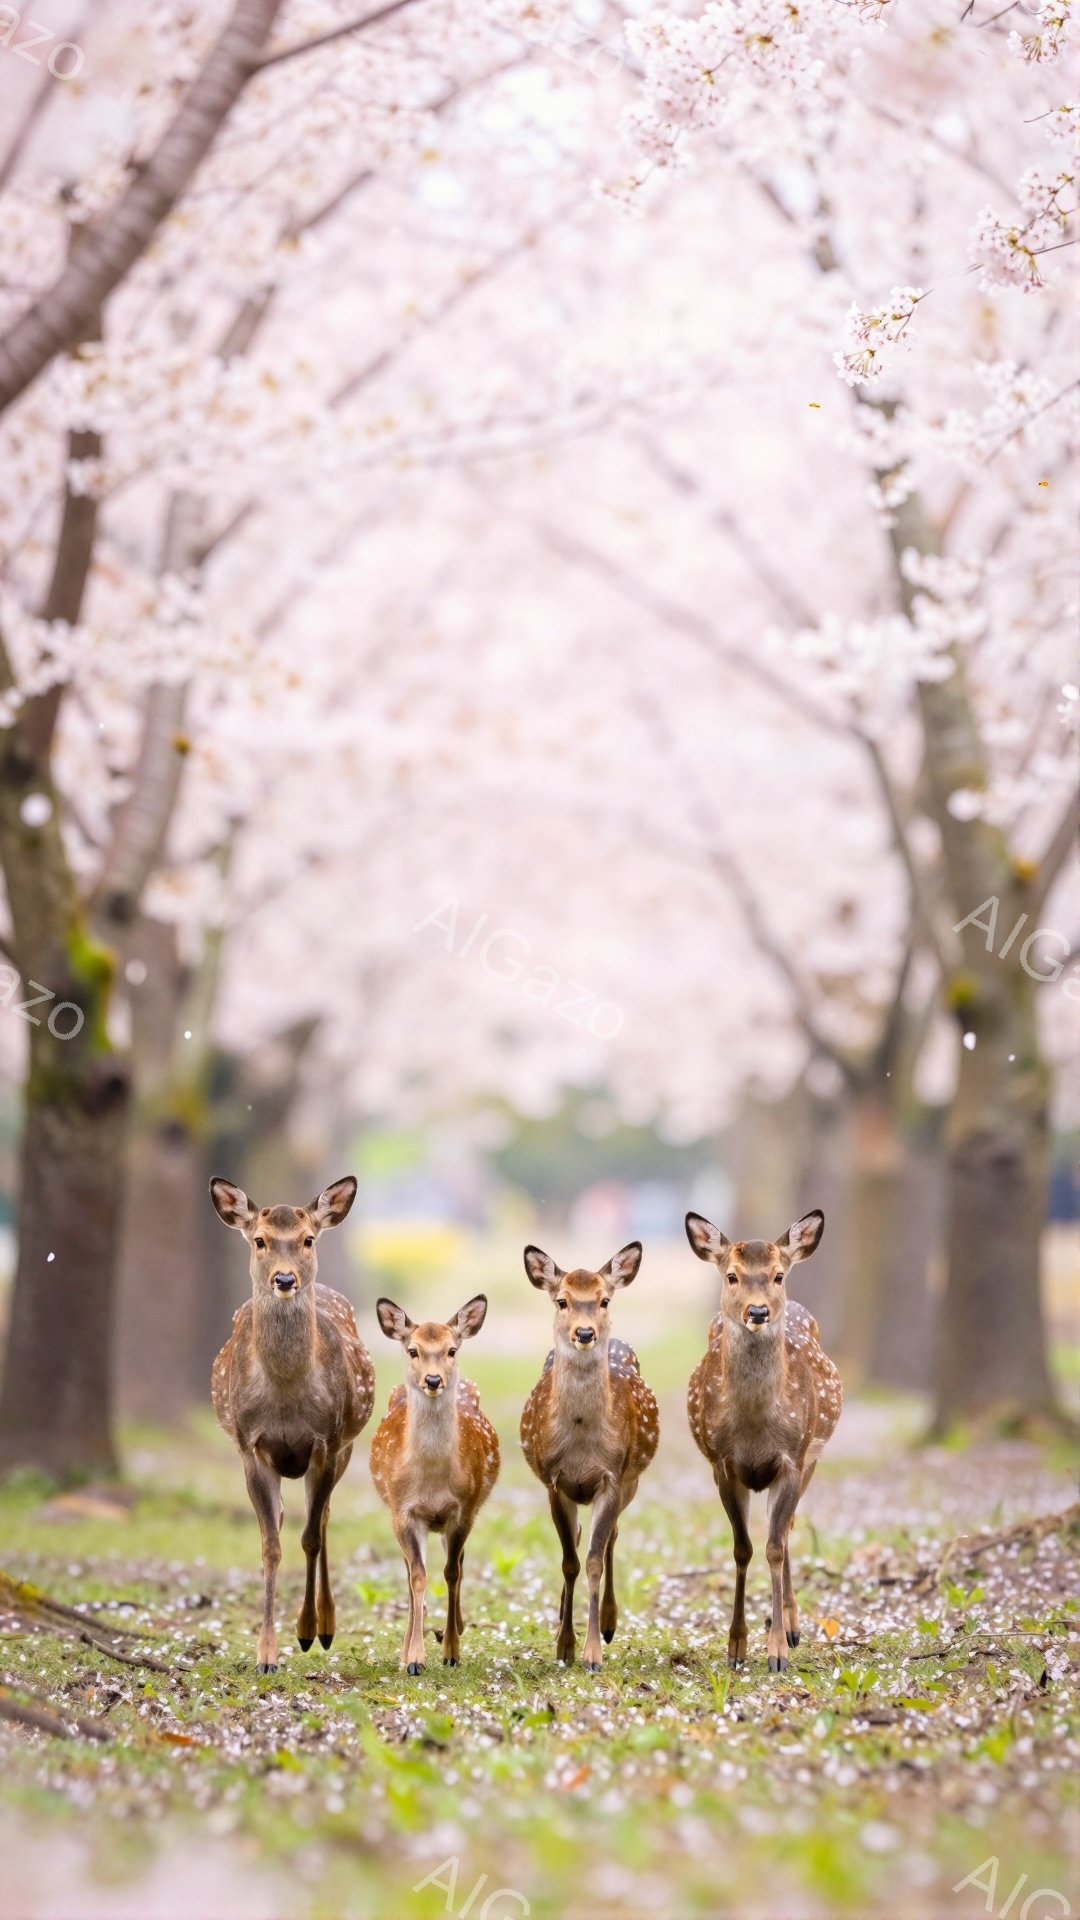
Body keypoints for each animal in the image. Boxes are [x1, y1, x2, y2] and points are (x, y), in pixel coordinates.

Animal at [209, 1175, 375, 1674]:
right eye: (260, 1240)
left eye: (308, 1239)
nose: (285, 1279)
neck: (285, 1398)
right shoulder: (250, 1445)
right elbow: (271, 1544)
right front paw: (265, 1653)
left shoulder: (327, 1440)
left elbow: (310, 1538)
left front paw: (305, 1631)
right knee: (288, 1518)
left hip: (346, 1445)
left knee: (324, 1520)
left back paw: (325, 1625)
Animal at [369, 1294, 499, 1674]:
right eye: (412, 1350)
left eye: (451, 1349)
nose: (432, 1379)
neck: (432, 1481)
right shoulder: (403, 1512)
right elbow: (418, 1577)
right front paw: (414, 1659)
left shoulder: (464, 1511)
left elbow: (452, 1572)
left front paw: (451, 1650)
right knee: (411, 1573)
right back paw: (405, 1650)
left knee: (456, 1565)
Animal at [520, 1241, 659, 1672]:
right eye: (562, 1300)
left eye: (604, 1299)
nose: (585, 1332)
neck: (581, 1445)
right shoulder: (554, 1481)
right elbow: (570, 1561)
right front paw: (564, 1645)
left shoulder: (611, 1477)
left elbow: (595, 1560)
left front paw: (593, 1652)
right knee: (578, 1542)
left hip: (633, 1479)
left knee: (611, 1537)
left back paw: (611, 1622)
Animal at [684, 1207, 842, 1673]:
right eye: (732, 1275)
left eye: (777, 1275)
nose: (757, 1311)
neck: (754, 1427)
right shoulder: (722, 1464)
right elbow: (743, 1549)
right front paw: (736, 1646)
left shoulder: (792, 1458)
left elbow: (773, 1546)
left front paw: (775, 1650)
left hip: (812, 1457)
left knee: (787, 1530)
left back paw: (790, 1626)